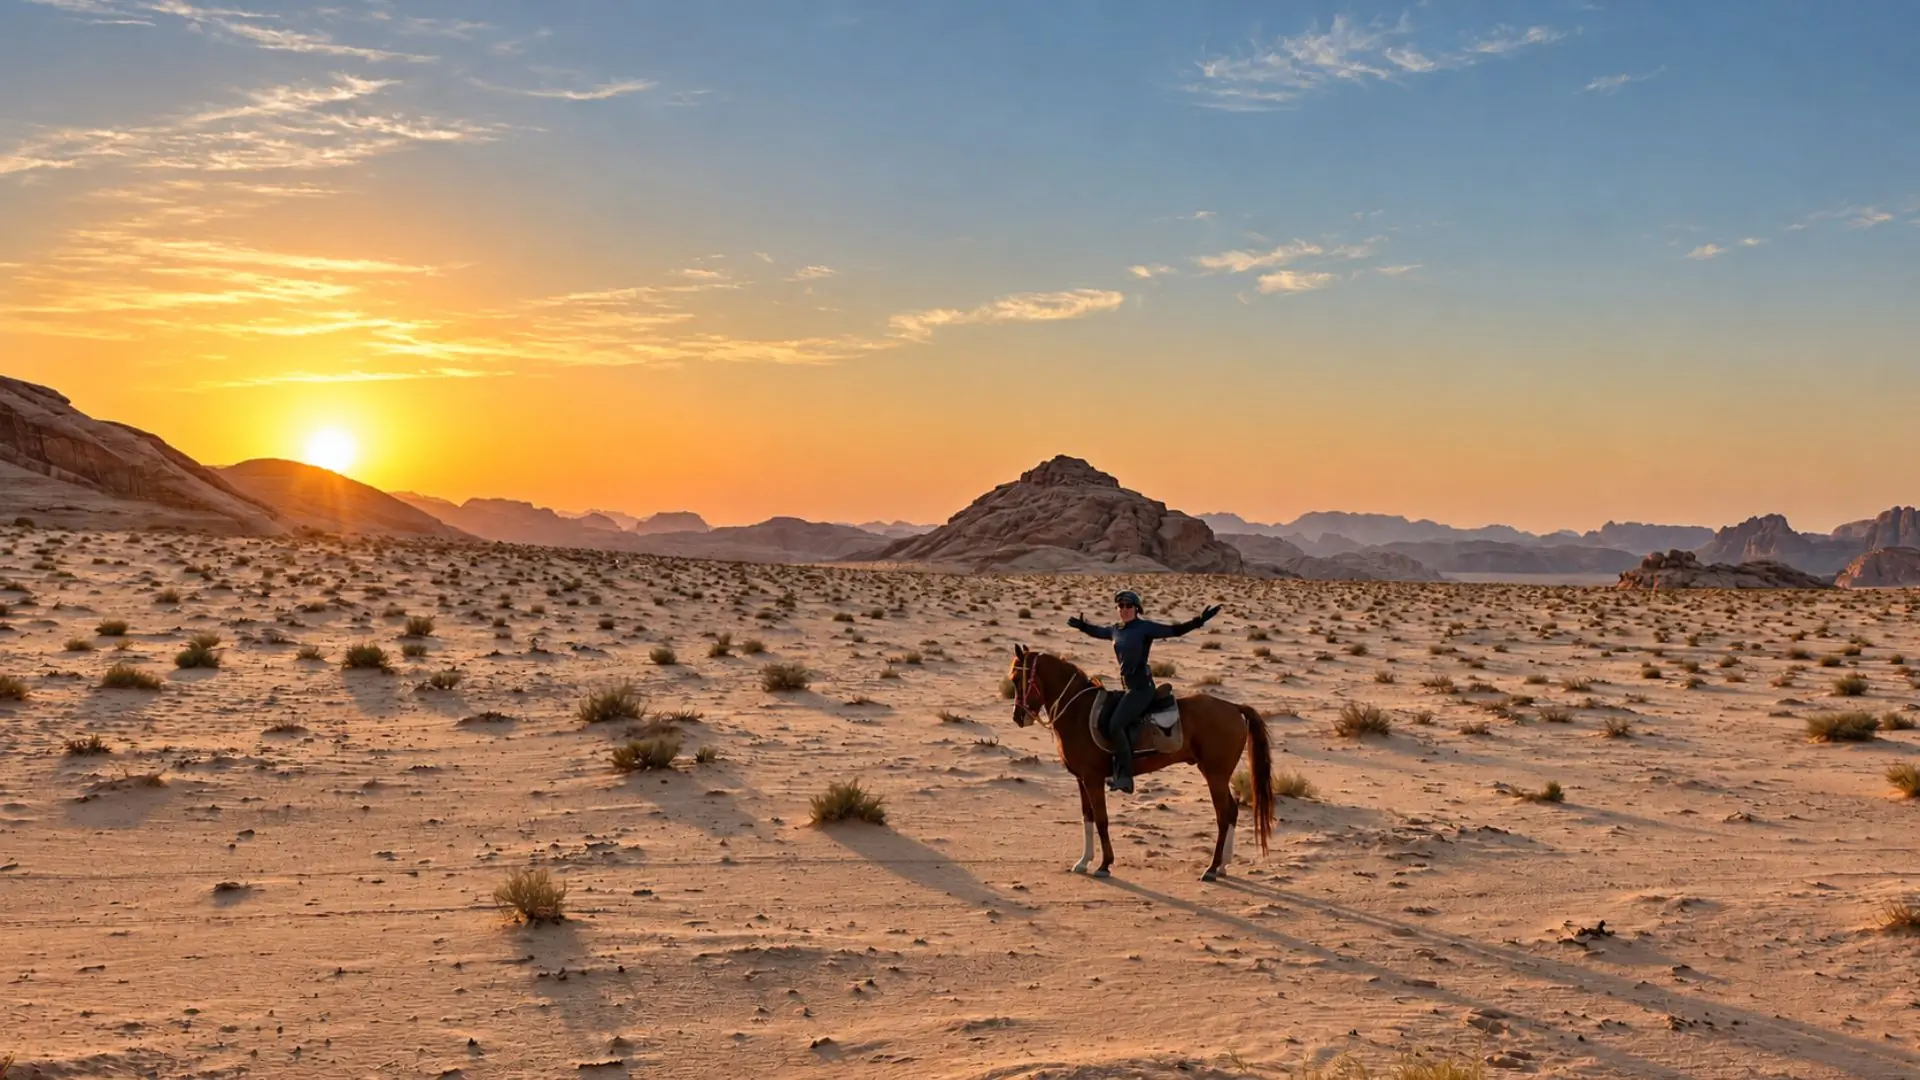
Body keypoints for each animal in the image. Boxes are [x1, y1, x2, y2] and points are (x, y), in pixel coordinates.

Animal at [1007, 644, 1274, 881]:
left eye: (1016, 679)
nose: (1018, 717)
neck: (1078, 712)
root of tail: (1234, 707)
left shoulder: (1093, 779)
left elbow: (1101, 820)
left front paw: (1104, 864)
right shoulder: (1081, 779)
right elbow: (1088, 817)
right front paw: (1083, 862)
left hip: (1215, 775)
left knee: (1223, 815)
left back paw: (1211, 868)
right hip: (1217, 774)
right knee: (1232, 812)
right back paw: (1222, 866)